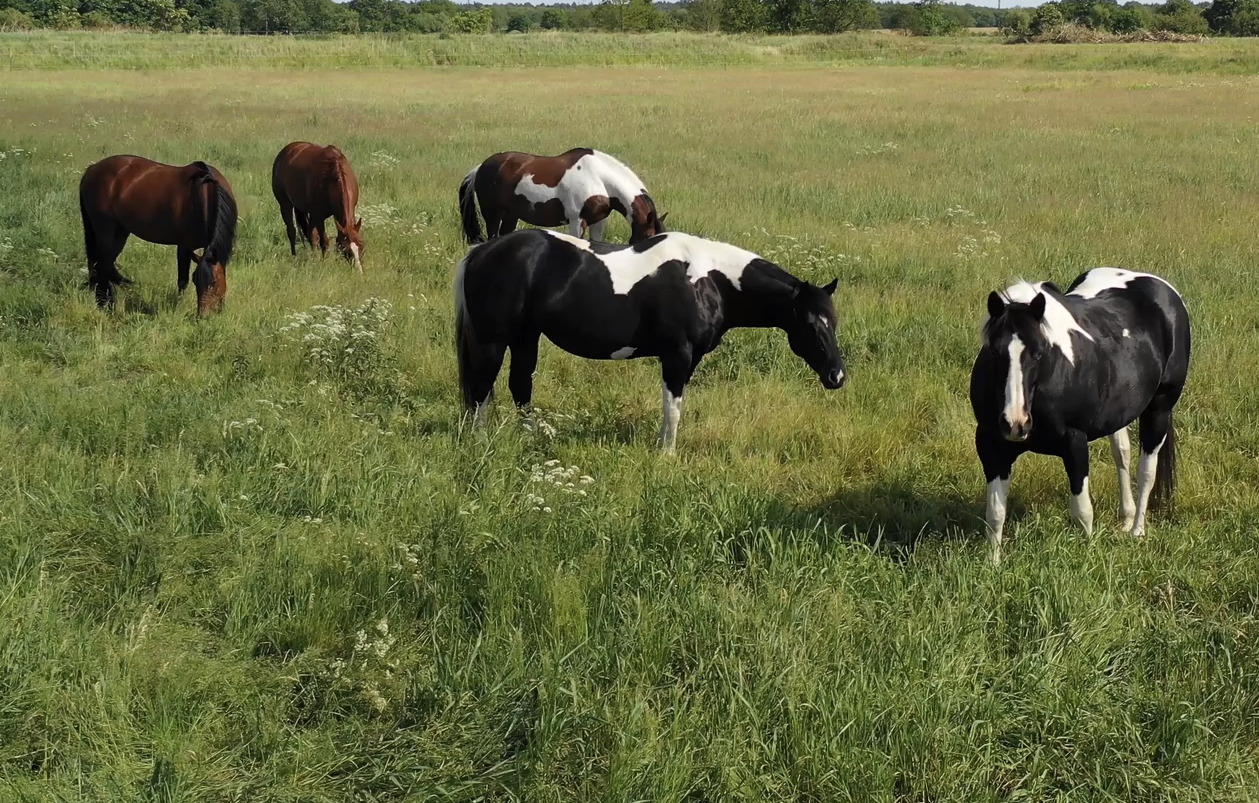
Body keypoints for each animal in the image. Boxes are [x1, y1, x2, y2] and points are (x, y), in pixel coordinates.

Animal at [79, 152, 237, 315]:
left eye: (214, 282)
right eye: (196, 281)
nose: (204, 316)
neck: (202, 193)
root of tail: (92, 169)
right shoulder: (183, 246)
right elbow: (182, 281)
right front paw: (178, 307)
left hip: (120, 232)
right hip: (105, 231)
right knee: (102, 265)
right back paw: (106, 304)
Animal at [269, 143, 362, 271]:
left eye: (361, 246)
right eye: (345, 249)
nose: (359, 271)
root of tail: (287, 150)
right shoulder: (319, 216)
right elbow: (324, 241)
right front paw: (325, 262)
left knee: (310, 234)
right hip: (285, 205)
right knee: (292, 231)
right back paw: (294, 256)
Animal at [453, 229, 846, 453]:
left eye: (834, 321)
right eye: (810, 324)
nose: (837, 376)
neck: (709, 279)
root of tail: (481, 252)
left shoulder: (687, 360)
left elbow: (672, 407)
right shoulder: (677, 355)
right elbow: (673, 409)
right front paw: (666, 455)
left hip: (525, 337)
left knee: (519, 386)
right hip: (492, 342)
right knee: (481, 392)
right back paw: (480, 445)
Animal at [455, 148, 669, 245]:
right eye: (649, 235)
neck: (599, 178)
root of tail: (479, 169)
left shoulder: (598, 221)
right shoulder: (577, 221)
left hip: (510, 216)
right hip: (492, 214)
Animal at [971, 270, 1188, 566]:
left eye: (1039, 352)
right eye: (994, 352)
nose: (1016, 423)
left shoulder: (1074, 443)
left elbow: (1083, 512)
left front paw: (1086, 557)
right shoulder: (990, 446)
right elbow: (995, 513)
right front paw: (993, 565)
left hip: (1159, 409)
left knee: (1146, 470)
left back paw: (1137, 530)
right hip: (1119, 414)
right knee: (1122, 454)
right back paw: (1126, 518)